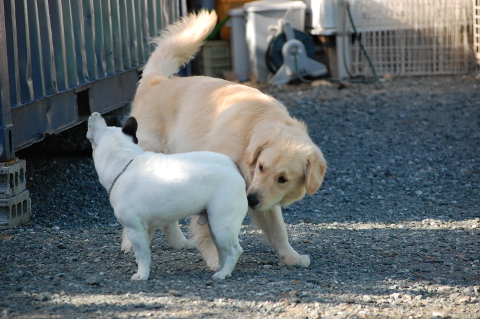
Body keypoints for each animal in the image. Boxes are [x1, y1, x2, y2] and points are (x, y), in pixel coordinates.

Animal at [86, 112, 249, 280]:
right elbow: (145, 252)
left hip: (223, 225)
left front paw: (141, 275)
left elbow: (142, 253)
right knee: (221, 249)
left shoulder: (135, 229)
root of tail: (233, 167)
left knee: (234, 250)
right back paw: (219, 268)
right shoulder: (146, 228)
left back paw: (224, 274)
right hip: (215, 224)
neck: (124, 162)